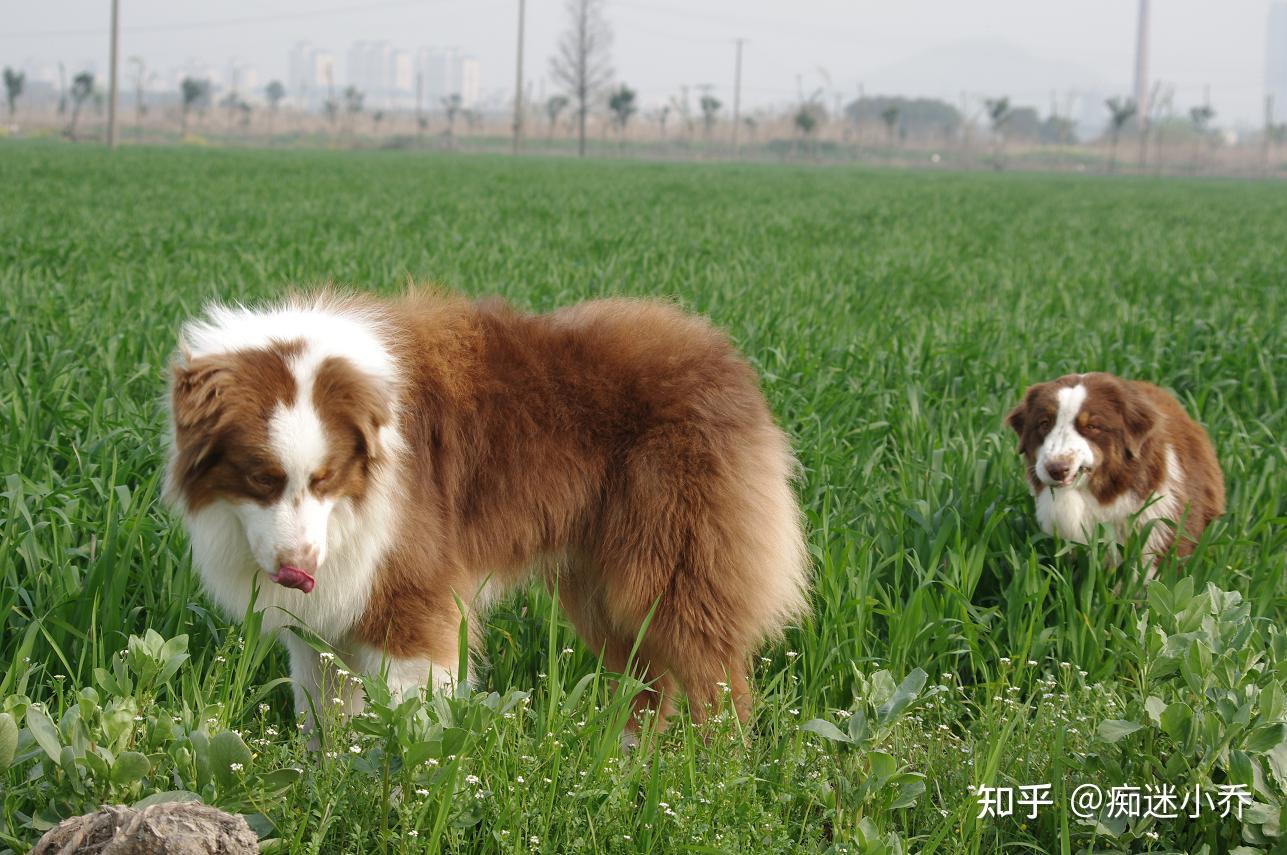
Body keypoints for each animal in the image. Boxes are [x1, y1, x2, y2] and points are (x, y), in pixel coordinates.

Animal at [160, 291, 803, 731]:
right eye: (261, 479)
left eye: (327, 478)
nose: (298, 572)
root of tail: (722, 352)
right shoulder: (324, 620)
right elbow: (323, 719)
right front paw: (322, 789)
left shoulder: (411, 597)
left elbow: (408, 718)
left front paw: (396, 794)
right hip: (600, 584)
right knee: (648, 679)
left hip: (671, 567)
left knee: (714, 675)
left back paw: (715, 777)